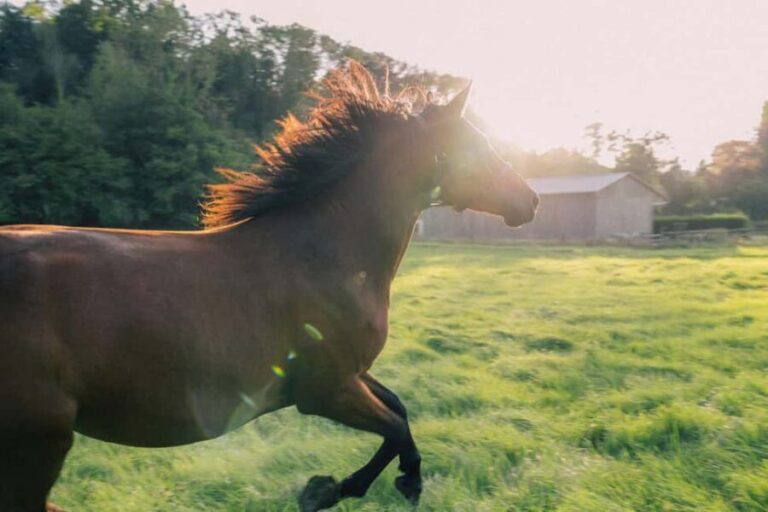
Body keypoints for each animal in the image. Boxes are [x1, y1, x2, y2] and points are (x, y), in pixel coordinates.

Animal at [0, 61, 538, 512]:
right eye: (476, 145)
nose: (529, 200)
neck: (326, 255)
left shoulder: (348, 374)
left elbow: (400, 411)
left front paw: (365, 484)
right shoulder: (326, 390)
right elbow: (396, 427)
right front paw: (340, 489)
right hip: (41, 442)